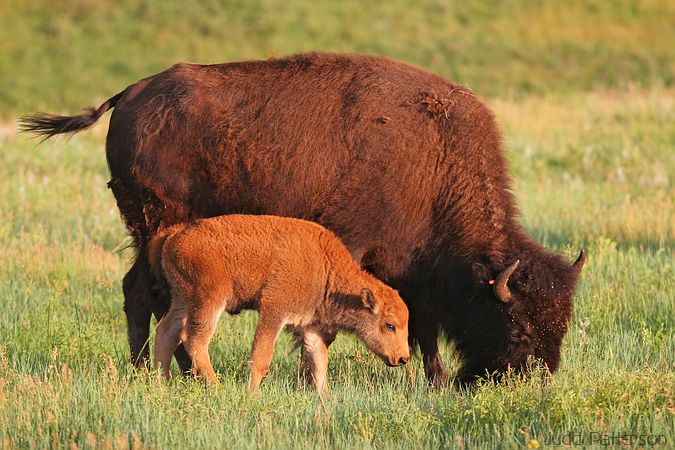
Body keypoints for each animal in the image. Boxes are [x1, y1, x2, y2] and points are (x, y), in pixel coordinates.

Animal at [150, 213, 410, 392]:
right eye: (389, 325)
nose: (403, 358)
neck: (326, 269)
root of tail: (175, 234)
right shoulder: (274, 312)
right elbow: (262, 357)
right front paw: (252, 393)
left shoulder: (311, 326)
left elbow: (319, 362)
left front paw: (325, 398)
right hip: (209, 300)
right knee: (194, 339)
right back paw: (216, 387)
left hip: (183, 300)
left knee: (165, 333)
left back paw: (162, 383)